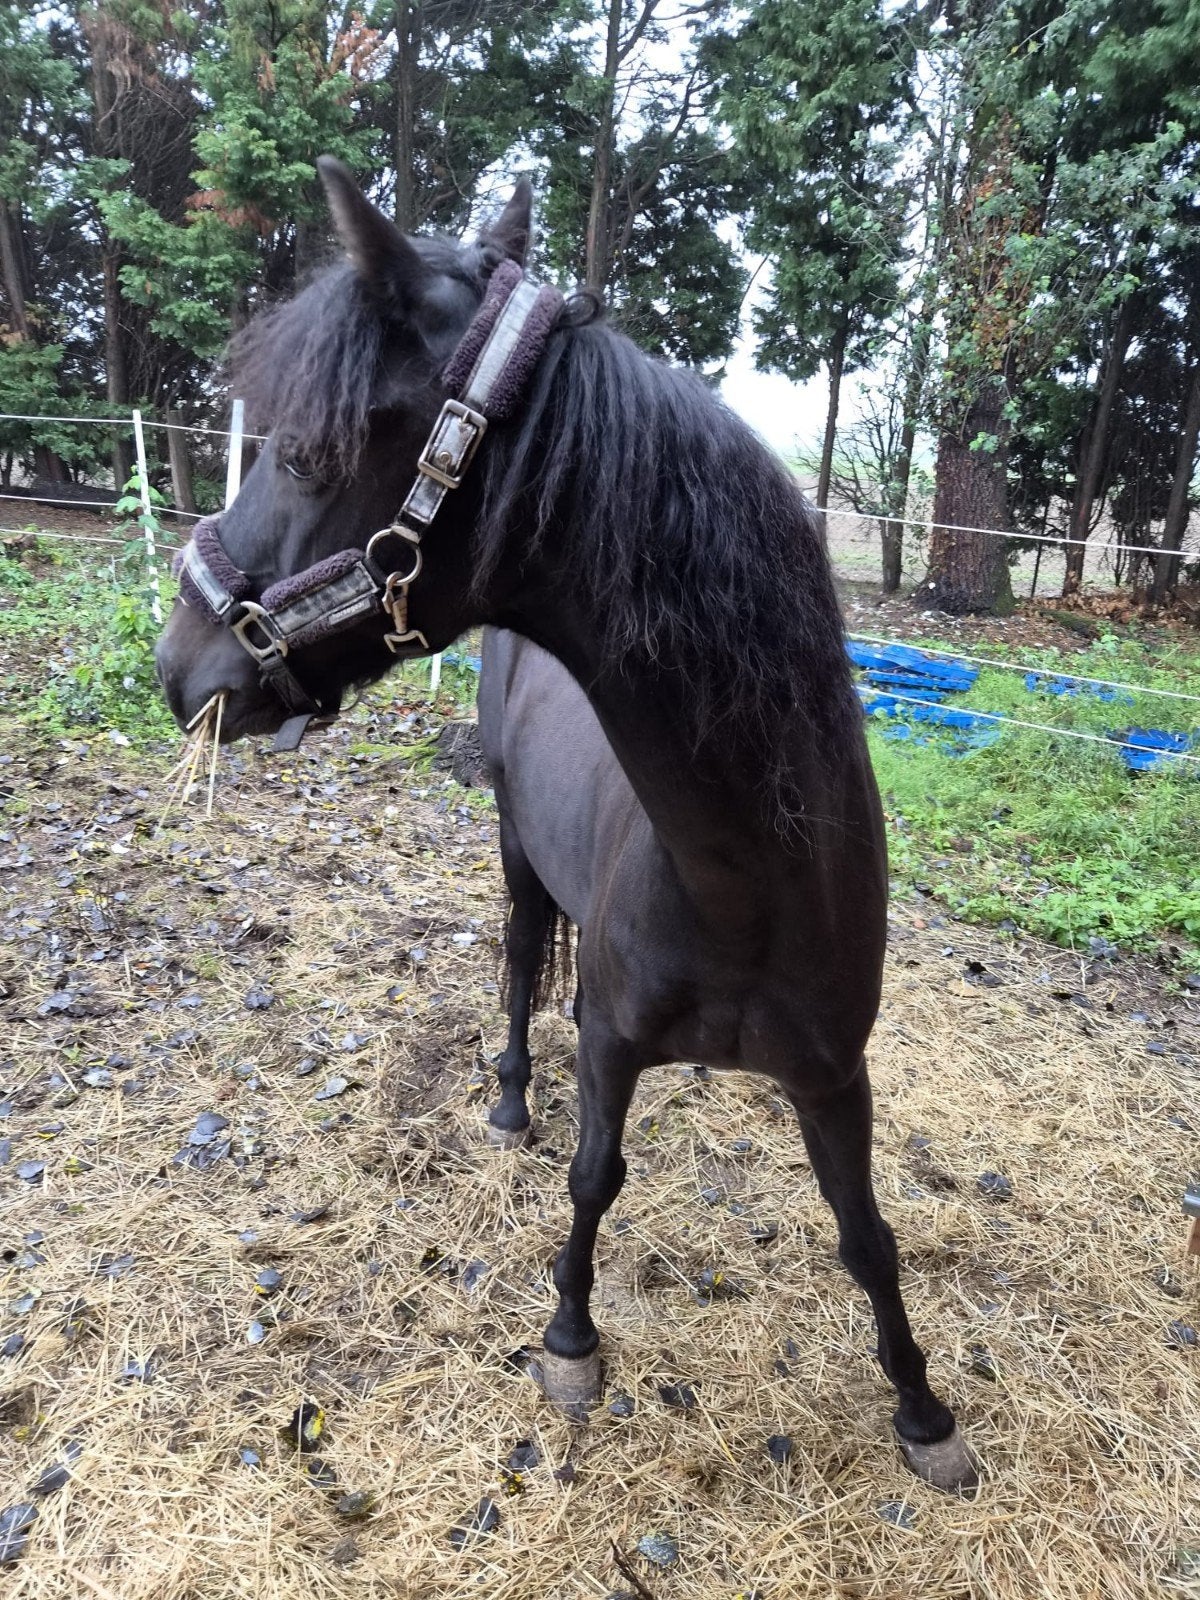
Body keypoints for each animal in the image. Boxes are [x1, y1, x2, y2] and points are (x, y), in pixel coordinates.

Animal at [154, 157, 978, 1495]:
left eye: (316, 449)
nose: (180, 667)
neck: (741, 878)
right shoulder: (606, 1039)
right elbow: (596, 1174)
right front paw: (571, 1339)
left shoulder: (834, 1073)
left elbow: (867, 1235)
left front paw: (922, 1406)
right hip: (512, 854)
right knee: (510, 966)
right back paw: (505, 1101)